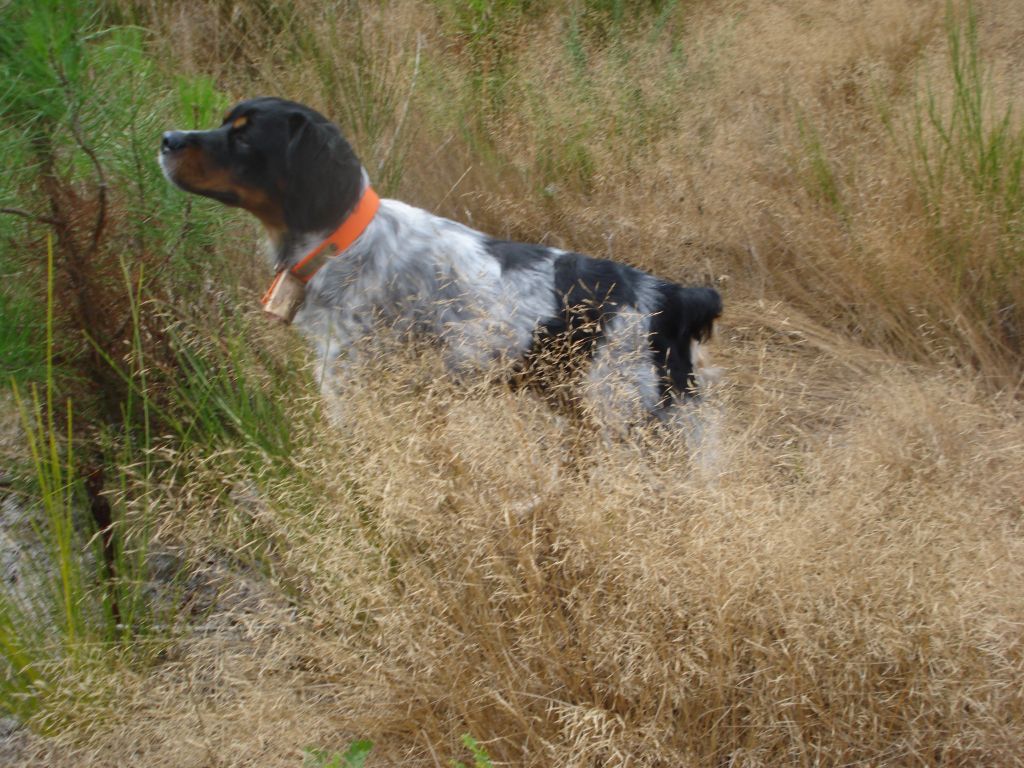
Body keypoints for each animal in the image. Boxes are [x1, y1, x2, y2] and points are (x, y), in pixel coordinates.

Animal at [160, 97, 722, 427]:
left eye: (244, 135)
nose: (166, 139)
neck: (342, 243)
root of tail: (673, 297)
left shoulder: (352, 388)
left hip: (629, 418)